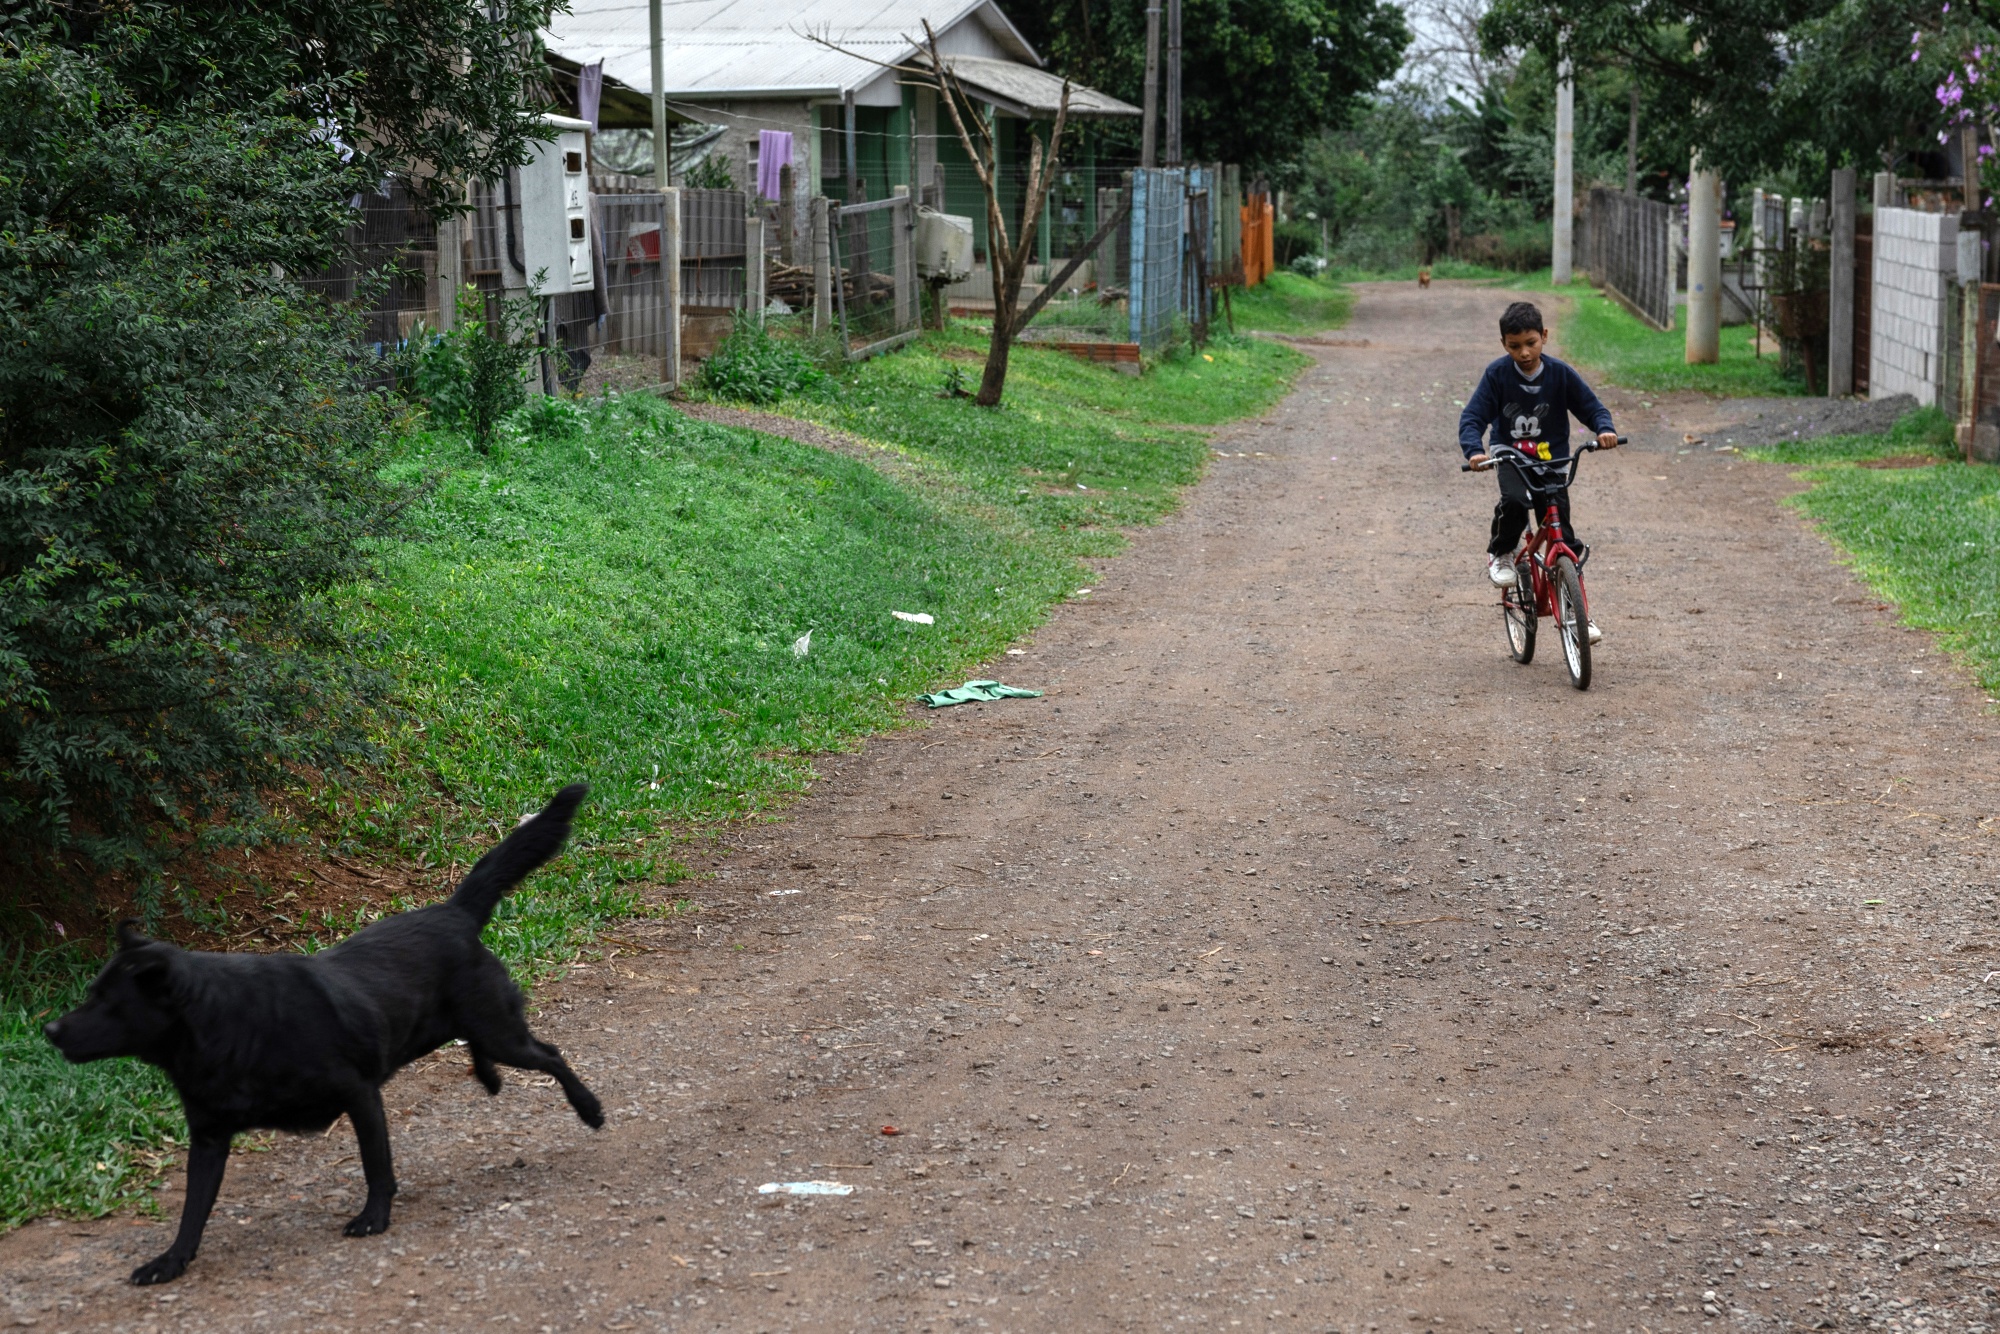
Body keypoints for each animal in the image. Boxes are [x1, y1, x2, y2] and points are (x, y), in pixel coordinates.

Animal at [47, 784, 600, 1280]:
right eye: (90, 993)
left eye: (108, 1004)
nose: (50, 1029)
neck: (225, 1026)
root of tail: (453, 911)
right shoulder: (207, 1139)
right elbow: (192, 1212)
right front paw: (171, 1262)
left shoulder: (359, 1094)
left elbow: (376, 1166)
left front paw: (374, 1217)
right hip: (466, 1026)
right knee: (487, 1050)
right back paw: (489, 1078)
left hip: (499, 1029)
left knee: (550, 1054)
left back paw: (588, 1108)